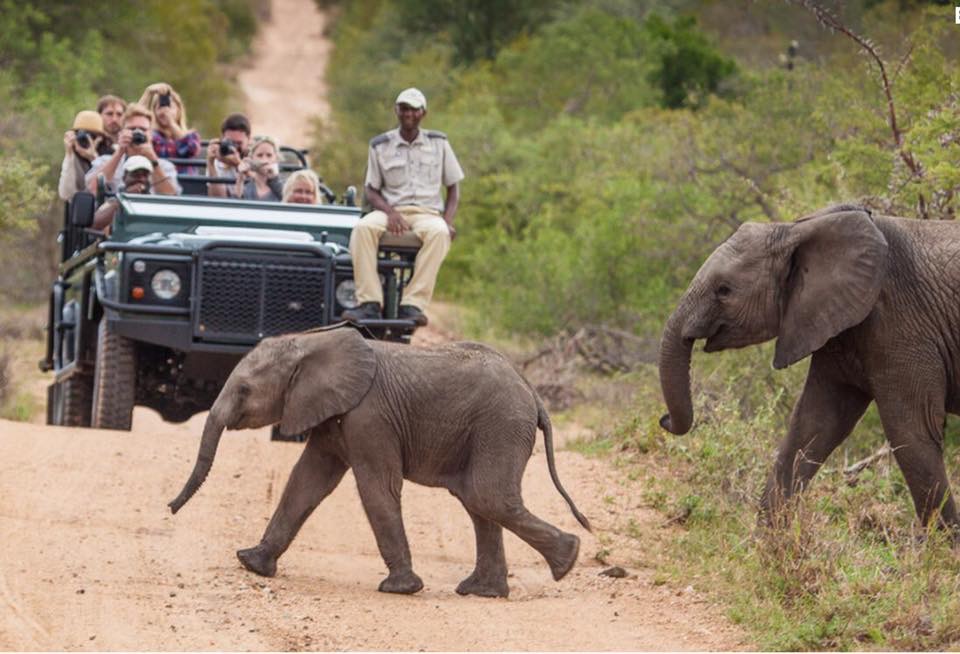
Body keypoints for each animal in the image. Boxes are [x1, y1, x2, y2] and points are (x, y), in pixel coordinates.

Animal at [169, 328, 588, 600]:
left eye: (244, 390)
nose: (169, 509)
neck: (311, 343)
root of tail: (533, 393)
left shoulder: (369, 416)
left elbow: (376, 488)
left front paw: (400, 590)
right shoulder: (331, 414)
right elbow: (307, 481)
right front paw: (251, 564)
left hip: (500, 424)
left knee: (487, 497)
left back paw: (567, 561)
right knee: (478, 502)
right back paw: (485, 591)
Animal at [656, 205, 960, 532]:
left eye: (724, 290)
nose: (664, 420)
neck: (794, 229)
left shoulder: (901, 323)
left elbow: (910, 429)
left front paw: (941, 544)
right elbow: (815, 423)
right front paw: (767, 539)